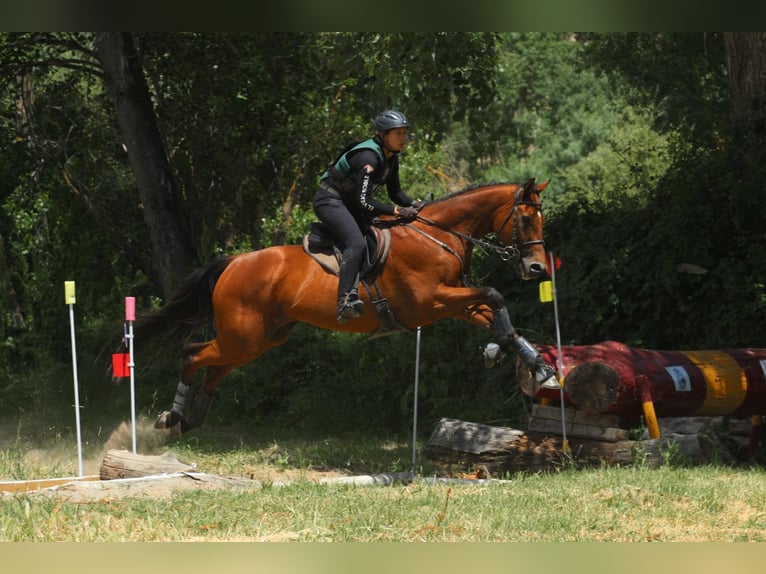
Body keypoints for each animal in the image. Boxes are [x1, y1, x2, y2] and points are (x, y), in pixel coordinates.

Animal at [136, 178, 560, 434]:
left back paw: (189, 421)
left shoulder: (454, 302)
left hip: (259, 339)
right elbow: (493, 294)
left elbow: (501, 318)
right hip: (244, 335)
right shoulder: (431, 302)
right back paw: (173, 416)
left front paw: (536, 367)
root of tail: (234, 262)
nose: (537, 268)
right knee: (194, 354)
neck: (438, 236)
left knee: (216, 368)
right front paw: (505, 354)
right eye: (526, 218)